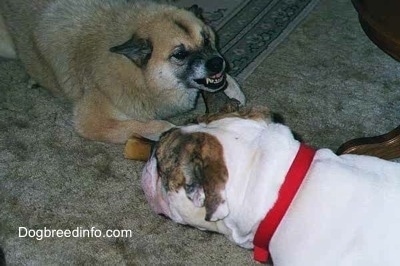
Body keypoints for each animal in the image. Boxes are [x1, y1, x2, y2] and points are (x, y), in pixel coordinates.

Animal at [0, 0, 245, 143]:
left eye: (206, 40)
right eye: (180, 54)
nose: (217, 63)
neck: (138, 75)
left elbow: (229, 82)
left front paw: (234, 91)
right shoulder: (92, 121)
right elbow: (152, 125)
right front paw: (171, 130)